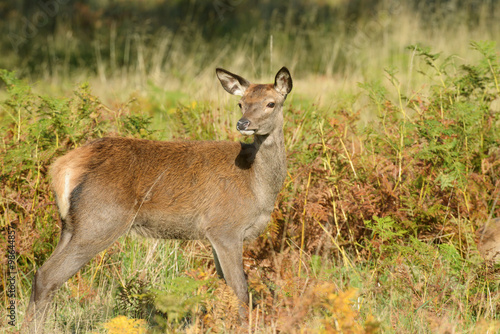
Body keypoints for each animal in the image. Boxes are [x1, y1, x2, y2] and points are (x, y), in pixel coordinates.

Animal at [24, 66, 292, 332]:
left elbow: (224, 286)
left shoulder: (217, 234)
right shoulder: (225, 227)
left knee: (41, 272)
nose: (243, 123)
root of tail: (62, 167)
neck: (257, 186)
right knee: (49, 276)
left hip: (70, 225)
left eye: (270, 103)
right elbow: (240, 289)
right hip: (100, 220)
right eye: (241, 103)